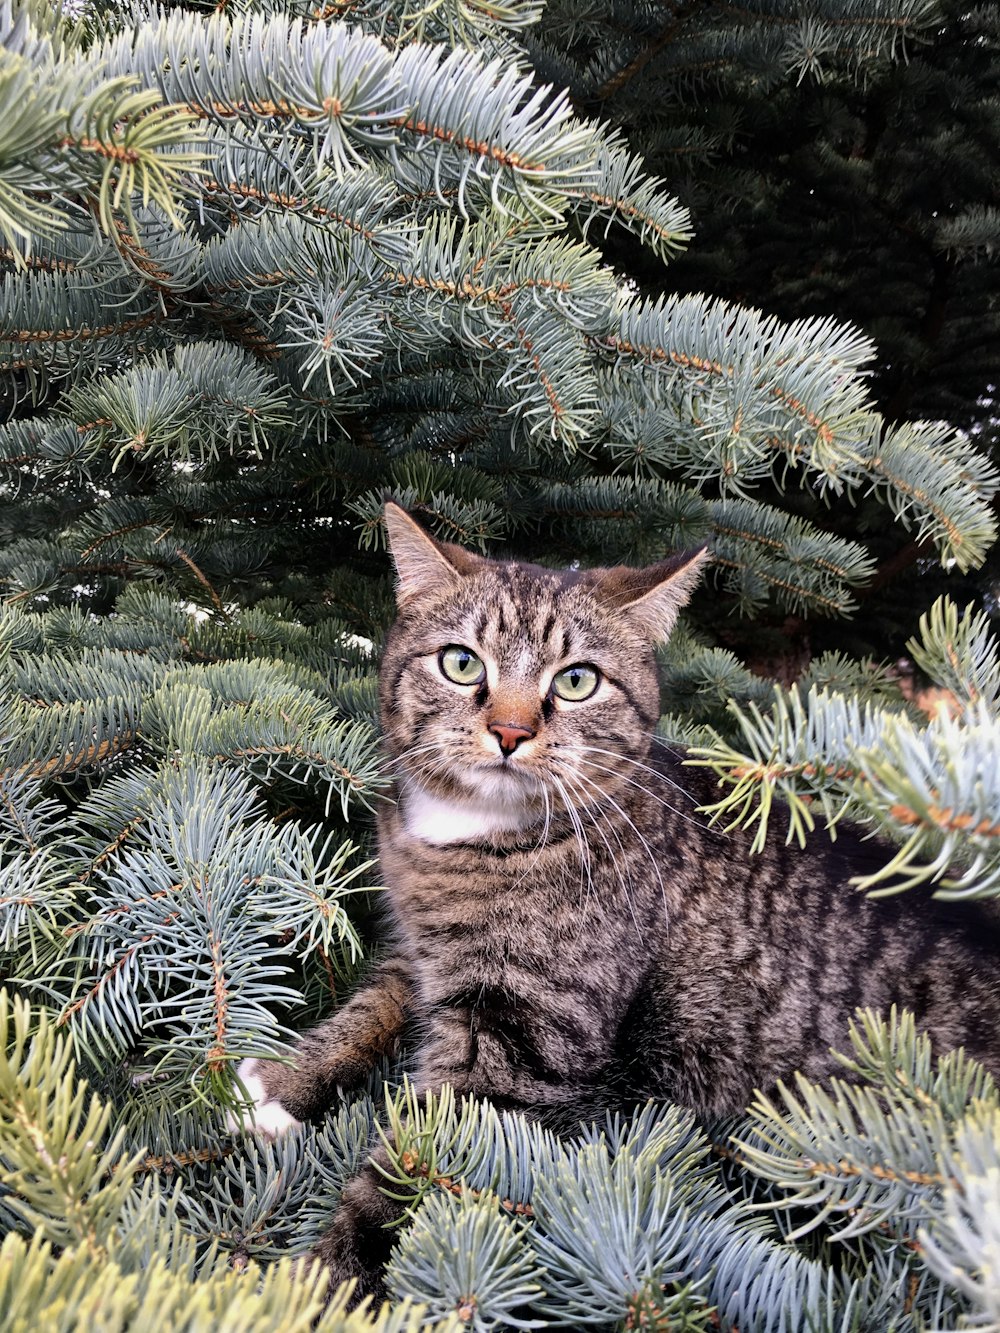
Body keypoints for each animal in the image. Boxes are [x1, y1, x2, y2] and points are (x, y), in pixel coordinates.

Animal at [234, 501, 1000, 1301]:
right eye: (461, 663)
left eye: (576, 681)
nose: (510, 730)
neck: (466, 838)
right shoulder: (418, 952)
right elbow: (367, 1010)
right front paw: (281, 1083)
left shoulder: (523, 1040)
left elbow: (419, 1164)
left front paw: (310, 1288)